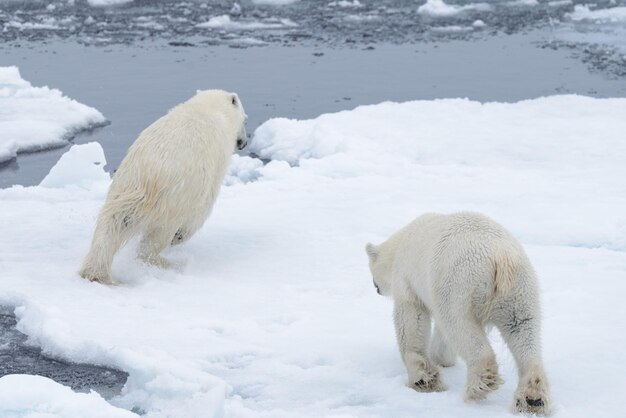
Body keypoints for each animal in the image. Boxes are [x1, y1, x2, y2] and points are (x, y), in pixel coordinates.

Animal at [80, 89, 249, 284]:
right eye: (245, 119)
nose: (243, 142)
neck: (207, 109)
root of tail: (146, 181)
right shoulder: (214, 163)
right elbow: (203, 208)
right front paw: (180, 236)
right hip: (171, 201)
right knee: (155, 238)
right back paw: (168, 262)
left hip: (122, 185)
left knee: (111, 225)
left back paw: (94, 273)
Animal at [366, 212, 552, 414]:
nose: (375, 287)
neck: (400, 244)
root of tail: (500, 257)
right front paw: (442, 359)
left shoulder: (408, 280)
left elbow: (411, 320)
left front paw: (423, 379)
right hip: (520, 291)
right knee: (523, 330)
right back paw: (532, 398)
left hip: (459, 283)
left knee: (459, 326)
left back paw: (477, 387)